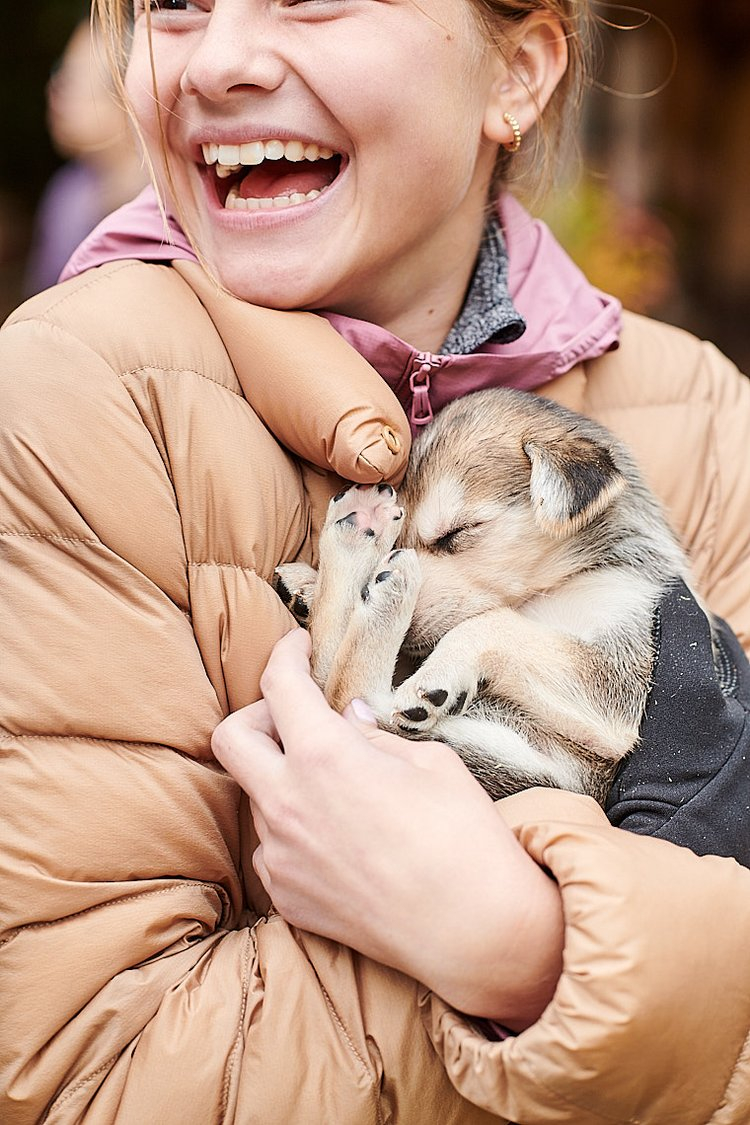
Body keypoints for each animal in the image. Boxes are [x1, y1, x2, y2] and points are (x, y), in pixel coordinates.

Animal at [274, 391, 697, 805]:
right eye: (404, 539)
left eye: (457, 532)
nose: (409, 638)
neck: (559, 581)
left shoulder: (616, 681)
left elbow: (493, 622)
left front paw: (441, 670)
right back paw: (342, 549)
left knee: (346, 695)